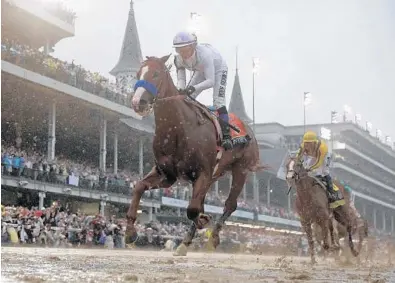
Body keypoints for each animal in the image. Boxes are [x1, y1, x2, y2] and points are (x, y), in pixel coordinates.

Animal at [125, 55, 264, 258]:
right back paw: (185, 243)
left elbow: (192, 210)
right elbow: (138, 187)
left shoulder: (202, 173)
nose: (138, 102)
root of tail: (249, 131)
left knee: (229, 205)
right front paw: (129, 232)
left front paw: (204, 222)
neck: (177, 129)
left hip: (241, 170)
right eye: (137, 74)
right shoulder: (167, 174)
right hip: (214, 175)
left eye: (156, 73)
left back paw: (212, 237)